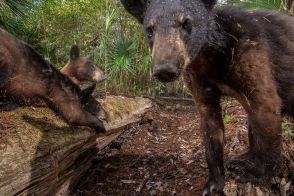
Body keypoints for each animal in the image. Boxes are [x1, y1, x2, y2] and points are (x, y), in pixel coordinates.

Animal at [120, 0, 294, 194]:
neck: (210, 58)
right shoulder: (197, 78)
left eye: (186, 23)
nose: (164, 69)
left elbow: (265, 110)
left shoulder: (252, 54)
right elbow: (211, 128)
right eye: (149, 29)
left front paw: (252, 172)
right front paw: (213, 183)